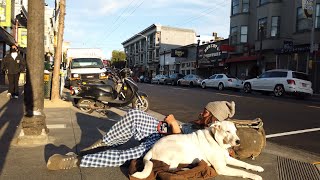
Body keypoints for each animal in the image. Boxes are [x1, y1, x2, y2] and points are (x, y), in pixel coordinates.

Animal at [131, 120, 264, 180]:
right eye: (227, 131)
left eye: (235, 131)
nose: (238, 141)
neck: (217, 142)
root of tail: (152, 148)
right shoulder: (222, 168)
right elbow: (241, 171)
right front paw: (254, 176)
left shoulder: (227, 159)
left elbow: (244, 164)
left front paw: (257, 168)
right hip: (178, 149)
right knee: (171, 170)